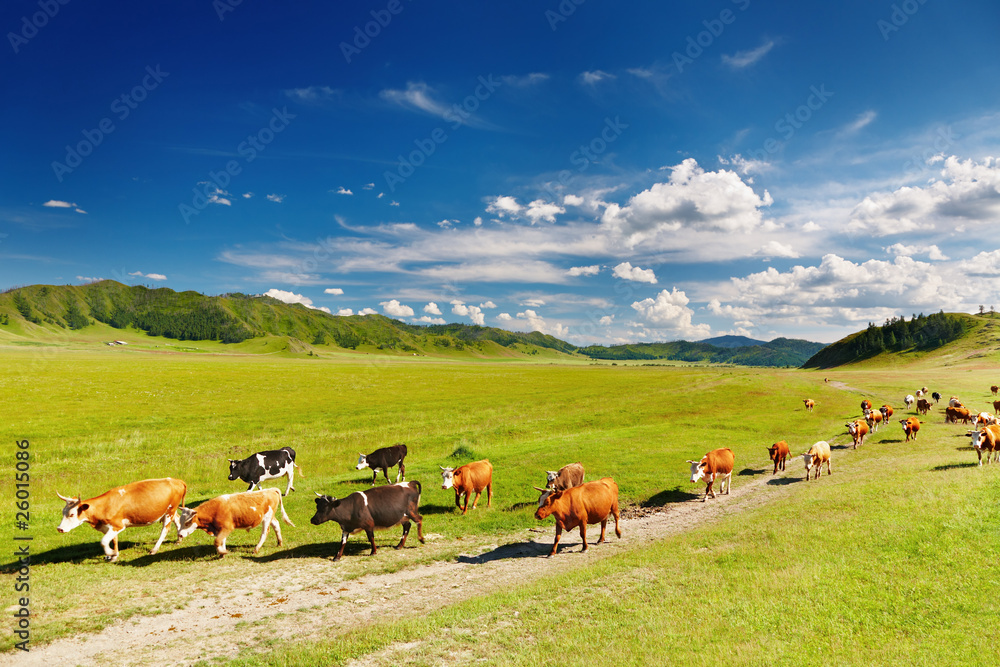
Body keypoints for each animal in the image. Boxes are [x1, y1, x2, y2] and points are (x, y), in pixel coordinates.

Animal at [56, 478, 188, 560]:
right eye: (63, 512)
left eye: (72, 514)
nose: (59, 529)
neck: (105, 505)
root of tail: (176, 480)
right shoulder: (109, 527)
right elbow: (114, 540)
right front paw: (114, 555)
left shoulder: (118, 525)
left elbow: (104, 541)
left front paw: (111, 553)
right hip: (169, 511)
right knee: (177, 520)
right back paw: (179, 540)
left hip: (170, 511)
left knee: (165, 529)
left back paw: (154, 549)